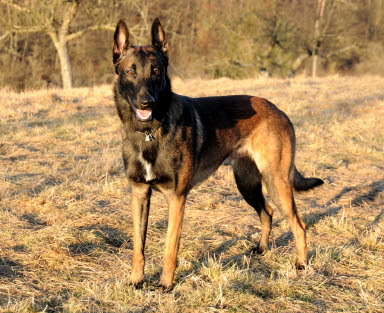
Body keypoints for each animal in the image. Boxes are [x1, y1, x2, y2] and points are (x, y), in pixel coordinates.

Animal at [112, 17, 324, 290]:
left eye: (156, 72)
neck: (150, 133)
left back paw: (301, 264)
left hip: (275, 182)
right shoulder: (139, 194)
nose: (146, 102)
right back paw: (262, 249)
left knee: (298, 223)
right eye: (130, 72)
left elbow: (170, 247)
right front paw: (136, 281)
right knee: (267, 212)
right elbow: (139, 246)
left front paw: (166, 284)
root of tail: (279, 110)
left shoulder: (176, 198)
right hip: (247, 183)